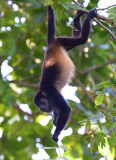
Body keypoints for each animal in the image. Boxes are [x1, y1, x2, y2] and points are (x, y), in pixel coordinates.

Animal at [33, 5, 97, 142]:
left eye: (41, 102)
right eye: (38, 105)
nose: (41, 108)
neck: (45, 92)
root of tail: (50, 45)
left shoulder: (53, 93)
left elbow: (66, 109)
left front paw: (56, 134)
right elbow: (58, 110)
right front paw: (55, 120)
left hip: (60, 40)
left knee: (81, 40)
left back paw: (89, 16)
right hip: (63, 44)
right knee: (77, 37)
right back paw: (76, 19)